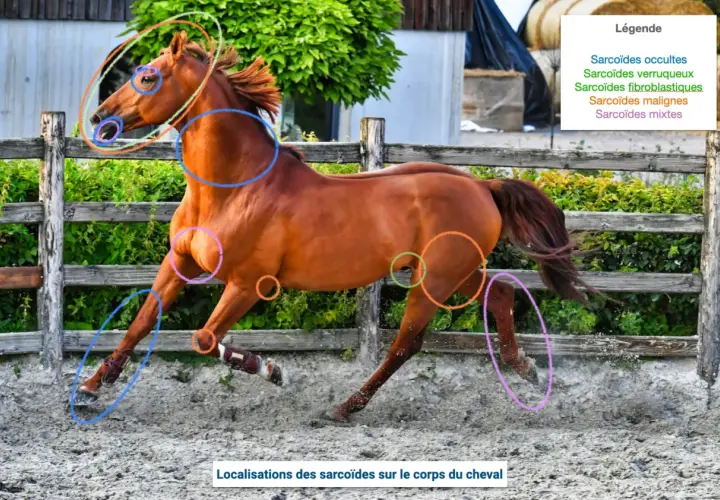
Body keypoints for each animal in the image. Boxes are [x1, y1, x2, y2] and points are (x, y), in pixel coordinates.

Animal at [76, 31, 590, 422]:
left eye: (147, 77)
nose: (101, 118)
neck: (230, 188)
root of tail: (484, 186)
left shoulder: (247, 283)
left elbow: (203, 339)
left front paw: (272, 370)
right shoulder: (179, 262)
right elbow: (142, 321)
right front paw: (90, 387)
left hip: (435, 280)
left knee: (406, 344)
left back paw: (344, 407)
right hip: (455, 272)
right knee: (500, 294)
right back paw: (525, 368)